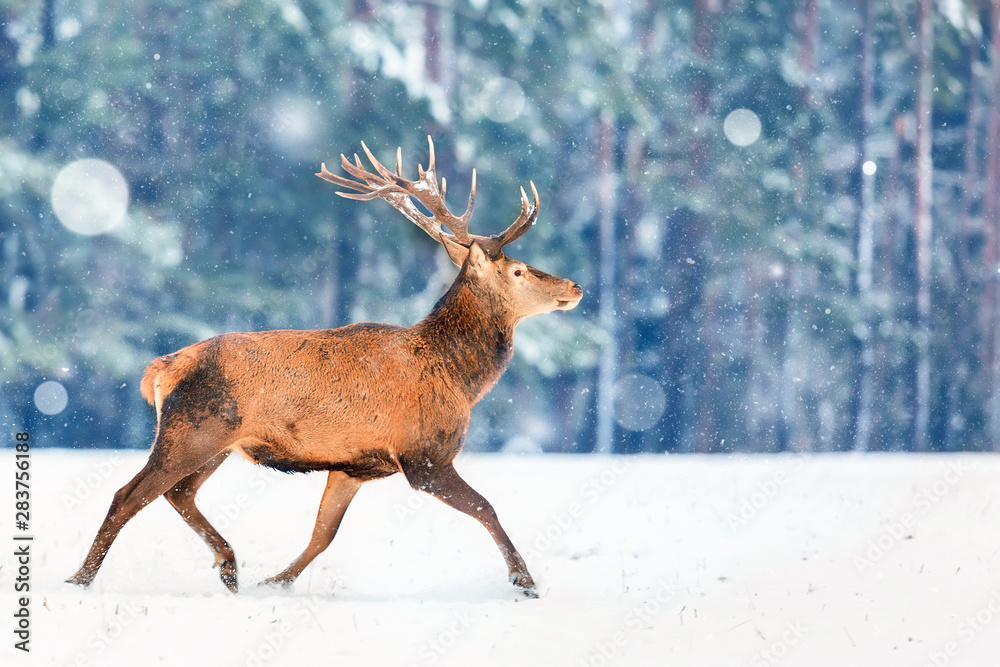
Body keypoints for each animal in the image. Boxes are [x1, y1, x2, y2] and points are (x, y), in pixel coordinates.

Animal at [66, 137, 582, 597]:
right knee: (129, 495)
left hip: (216, 441)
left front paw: (274, 582)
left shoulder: (355, 464)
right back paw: (81, 579)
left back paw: (229, 566)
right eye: (518, 270)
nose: (574, 286)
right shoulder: (423, 455)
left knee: (178, 493)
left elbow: (322, 535)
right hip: (191, 429)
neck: (459, 378)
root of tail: (160, 368)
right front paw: (524, 581)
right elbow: (486, 507)